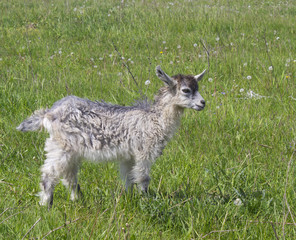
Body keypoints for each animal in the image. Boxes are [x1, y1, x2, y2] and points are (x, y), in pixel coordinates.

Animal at [16, 65, 206, 206]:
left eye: (197, 88)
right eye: (186, 90)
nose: (203, 103)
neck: (154, 119)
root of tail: (48, 113)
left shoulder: (128, 156)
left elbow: (128, 178)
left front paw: (129, 199)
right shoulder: (144, 150)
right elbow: (143, 178)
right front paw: (146, 200)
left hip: (69, 149)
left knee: (69, 175)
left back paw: (78, 200)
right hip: (61, 146)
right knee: (49, 174)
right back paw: (46, 205)